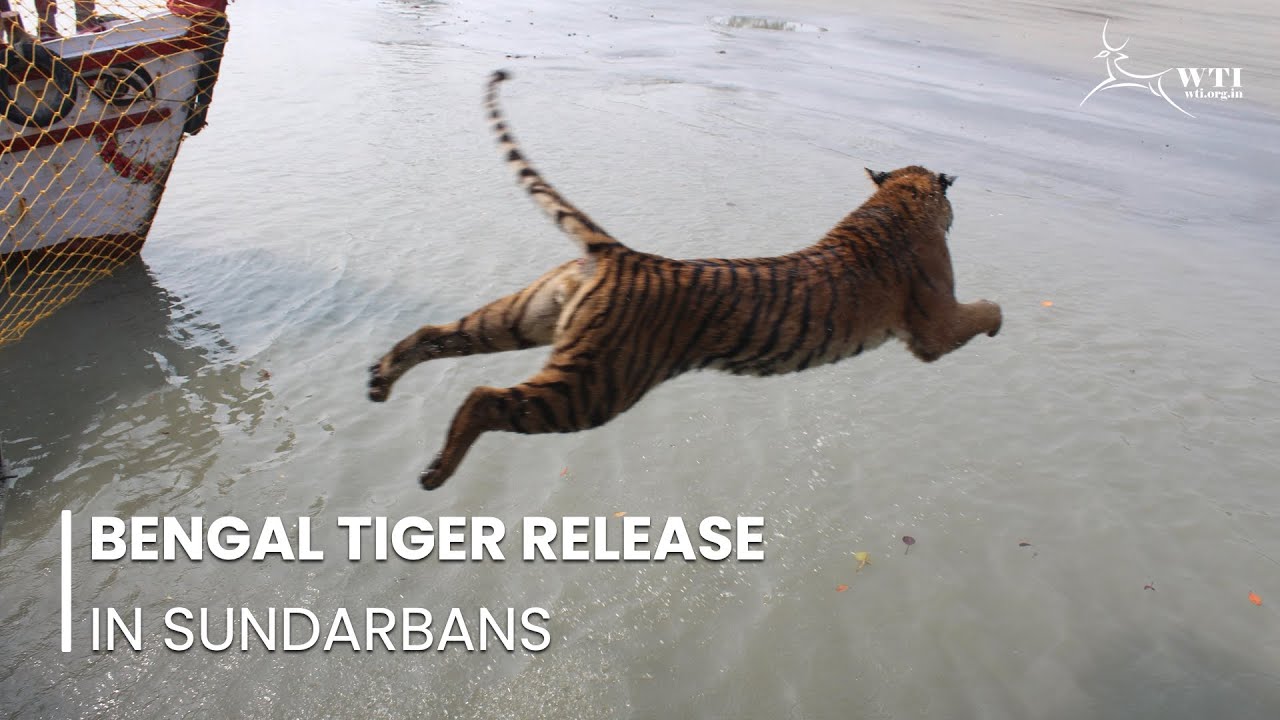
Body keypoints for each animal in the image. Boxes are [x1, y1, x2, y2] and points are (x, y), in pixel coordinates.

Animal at [368, 70, 1002, 490]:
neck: (894, 202)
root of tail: (616, 253)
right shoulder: (934, 328)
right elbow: (982, 312)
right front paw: (1000, 319)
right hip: (592, 387)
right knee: (484, 398)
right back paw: (436, 471)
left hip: (526, 317)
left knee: (436, 333)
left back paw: (380, 380)